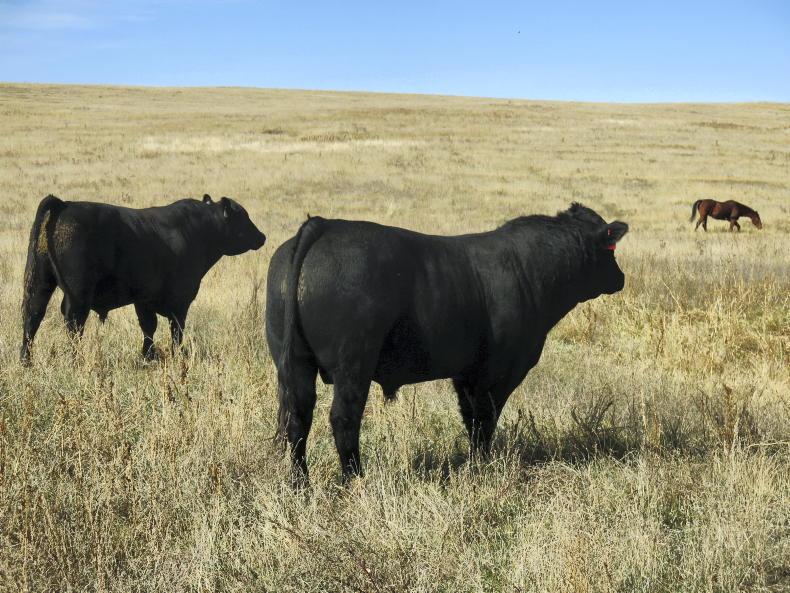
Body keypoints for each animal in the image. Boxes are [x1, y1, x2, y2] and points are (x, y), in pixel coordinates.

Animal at [20, 193, 266, 364]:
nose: (262, 236)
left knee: (33, 316)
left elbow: (148, 326)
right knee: (73, 323)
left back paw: (26, 360)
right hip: (78, 294)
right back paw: (76, 360)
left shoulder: (144, 299)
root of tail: (64, 204)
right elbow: (176, 330)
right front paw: (175, 355)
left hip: (41, 282)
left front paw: (148, 355)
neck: (197, 231)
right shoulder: (180, 301)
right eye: (244, 217)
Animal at [266, 203, 628, 484]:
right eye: (610, 249)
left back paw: (300, 483)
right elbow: (484, 420)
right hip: (353, 362)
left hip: (293, 362)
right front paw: (481, 467)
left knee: (297, 417)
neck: (529, 270)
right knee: (343, 418)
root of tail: (324, 225)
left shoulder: (465, 373)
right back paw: (354, 480)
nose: (620, 278)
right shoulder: (497, 372)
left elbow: (469, 417)